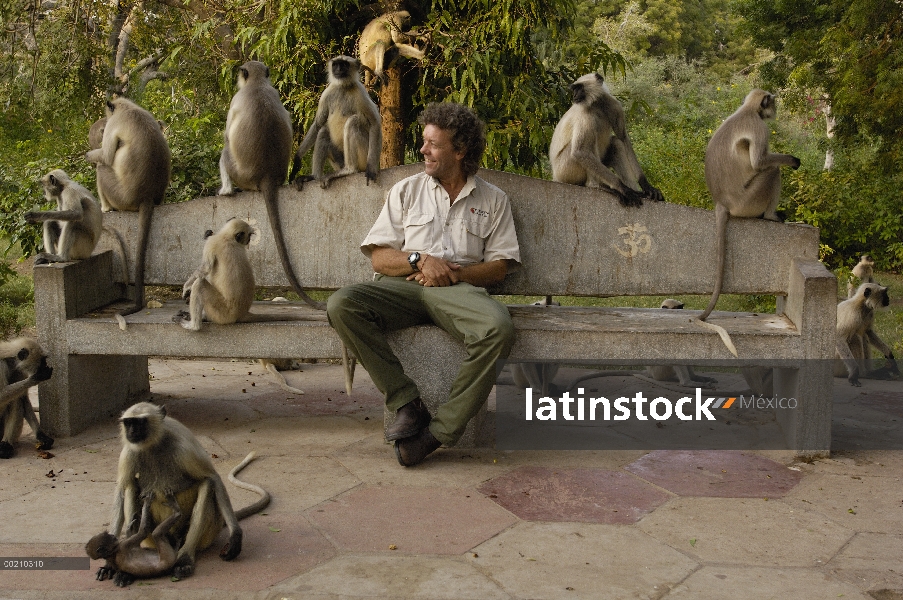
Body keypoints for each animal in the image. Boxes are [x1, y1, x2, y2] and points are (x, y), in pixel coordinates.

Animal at [85, 97, 171, 318]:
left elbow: (106, 156)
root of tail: (146, 196)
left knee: (102, 167)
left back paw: (106, 208)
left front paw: (89, 154)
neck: (129, 108)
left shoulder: (115, 123)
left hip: (120, 196)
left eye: (108, 116)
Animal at [108, 406, 270, 580]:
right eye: (128, 422)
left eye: (140, 422)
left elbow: (213, 477)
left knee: (207, 484)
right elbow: (121, 490)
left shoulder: (184, 448)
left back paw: (184, 559)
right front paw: (109, 562)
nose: (131, 431)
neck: (154, 442)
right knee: (131, 486)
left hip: (208, 533)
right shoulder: (128, 453)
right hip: (151, 539)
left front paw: (236, 535)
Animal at [219, 61, 324, 312]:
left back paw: (226, 190)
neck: (257, 84)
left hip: (241, 173)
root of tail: (266, 175)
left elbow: (227, 135)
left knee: (225, 152)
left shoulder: (236, 99)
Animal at [294, 56, 382, 189]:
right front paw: (297, 158)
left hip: (363, 154)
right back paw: (314, 176)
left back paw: (350, 170)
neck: (342, 87)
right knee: (323, 131)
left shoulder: (360, 92)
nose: (339, 70)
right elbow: (318, 123)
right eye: (335, 64)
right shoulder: (327, 93)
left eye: (344, 65)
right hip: (338, 161)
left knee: (353, 122)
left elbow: (374, 123)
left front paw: (371, 169)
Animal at [548, 72, 668, 209]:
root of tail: (555, 176)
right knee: (587, 145)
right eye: (574, 89)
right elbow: (580, 152)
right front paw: (624, 189)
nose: (574, 96)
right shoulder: (584, 113)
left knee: (617, 143)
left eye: (579, 88)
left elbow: (623, 137)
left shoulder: (614, 105)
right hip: (565, 169)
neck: (597, 103)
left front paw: (646, 185)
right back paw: (596, 185)